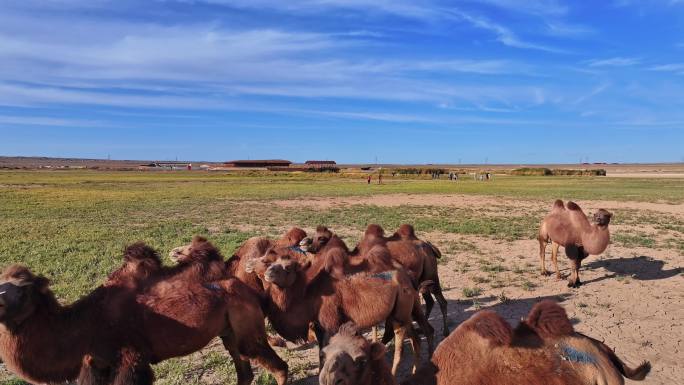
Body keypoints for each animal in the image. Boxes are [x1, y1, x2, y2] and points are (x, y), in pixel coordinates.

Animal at [254, 249, 430, 376]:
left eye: (288, 268)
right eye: (273, 263)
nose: (268, 273)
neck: (310, 293)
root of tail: (407, 275)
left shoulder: (331, 323)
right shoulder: (319, 326)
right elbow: (321, 353)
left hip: (400, 312)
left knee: (400, 343)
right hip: (406, 310)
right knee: (415, 336)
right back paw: (416, 371)